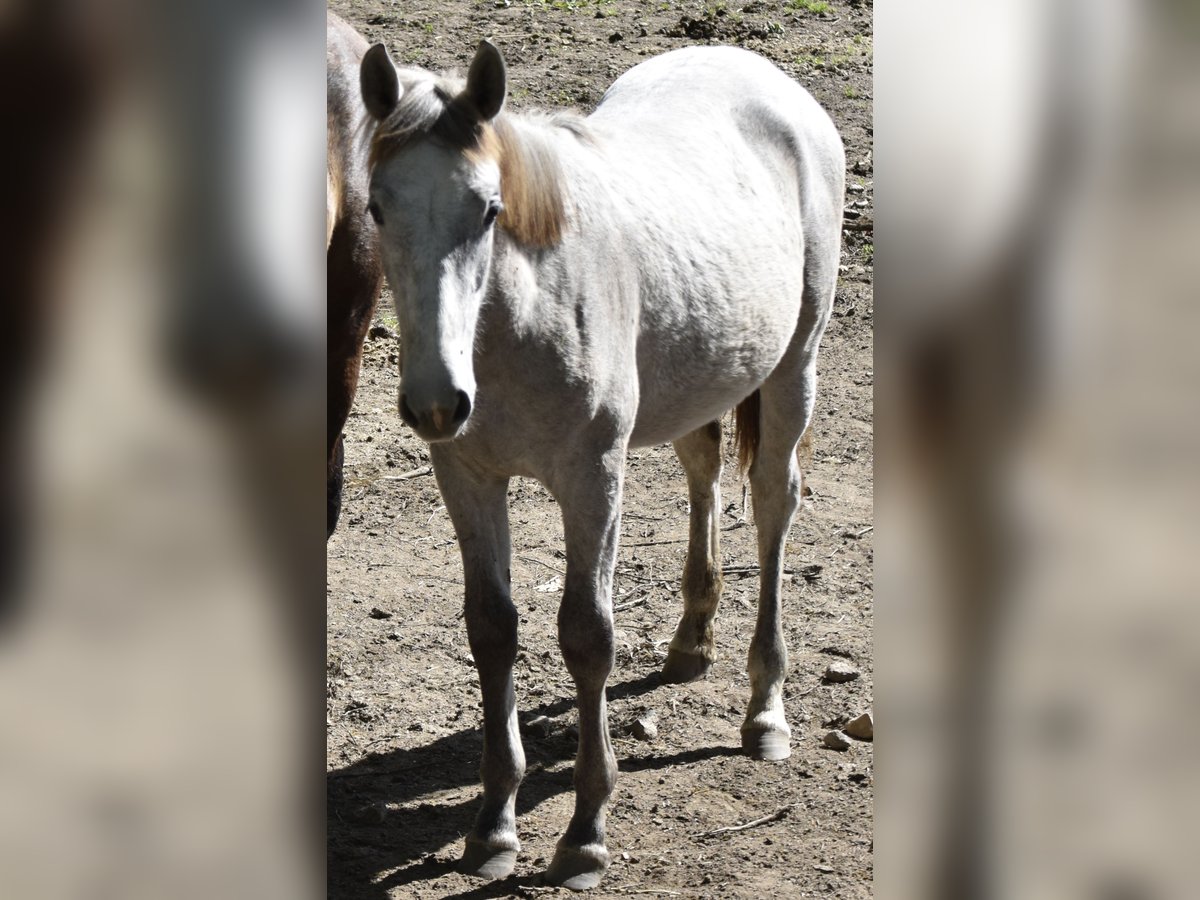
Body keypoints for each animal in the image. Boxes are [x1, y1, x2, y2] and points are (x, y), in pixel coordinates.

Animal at [359, 39, 844, 889]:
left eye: (489, 208)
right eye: (379, 208)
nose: (437, 402)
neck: (524, 317)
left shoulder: (593, 479)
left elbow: (587, 636)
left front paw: (584, 834)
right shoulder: (468, 477)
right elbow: (492, 629)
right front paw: (493, 826)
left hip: (794, 367)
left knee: (773, 506)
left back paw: (765, 712)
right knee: (703, 469)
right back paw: (690, 643)